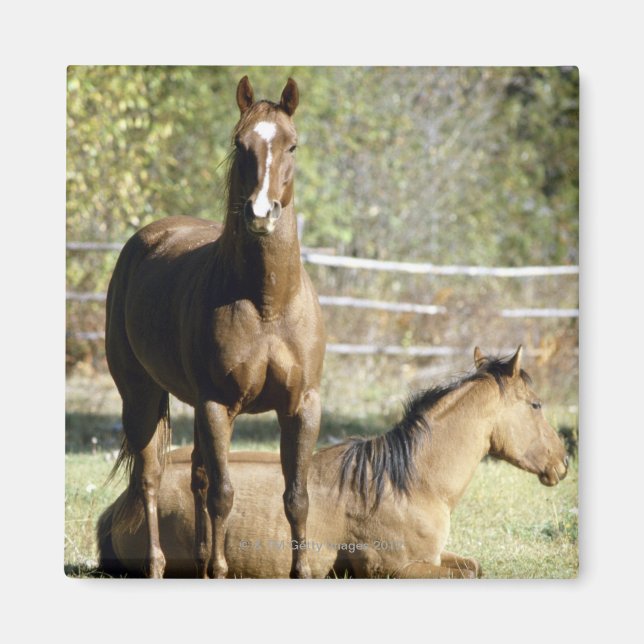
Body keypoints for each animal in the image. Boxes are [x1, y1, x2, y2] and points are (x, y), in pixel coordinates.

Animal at [98, 346, 569, 578]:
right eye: (536, 404)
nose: (563, 463)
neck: (409, 483)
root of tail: (123, 506)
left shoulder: (434, 558)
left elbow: (474, 566)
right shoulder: (396, 570)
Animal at [104, 76, 326, 579]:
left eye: (293, 145)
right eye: (240, 144)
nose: (261, 214)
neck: (267, 306)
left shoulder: (302, 406)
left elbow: (297, 497)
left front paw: (299, 572)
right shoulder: (217, 406)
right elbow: (225, 495)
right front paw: (222, 570)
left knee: (196, 478)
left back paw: (202, 562)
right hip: (141, 396)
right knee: (151, 480)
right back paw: (158, 565)